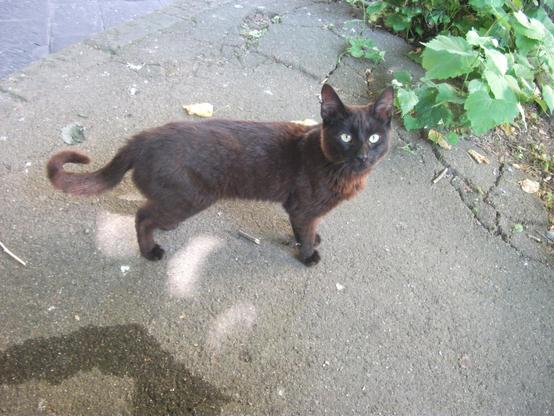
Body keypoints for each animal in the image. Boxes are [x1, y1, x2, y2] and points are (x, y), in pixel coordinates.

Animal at [47, 85, 392, 266]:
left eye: (374, 138)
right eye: (345, 137)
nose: (363, 156)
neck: (340, 172)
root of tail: (140, 139)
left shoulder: (303, 211)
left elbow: (305, 228)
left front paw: (310, 238)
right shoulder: (302, 207)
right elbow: (304, 231)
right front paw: (308, 254)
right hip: (192, 196)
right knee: (142, 216)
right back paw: (150, 251)